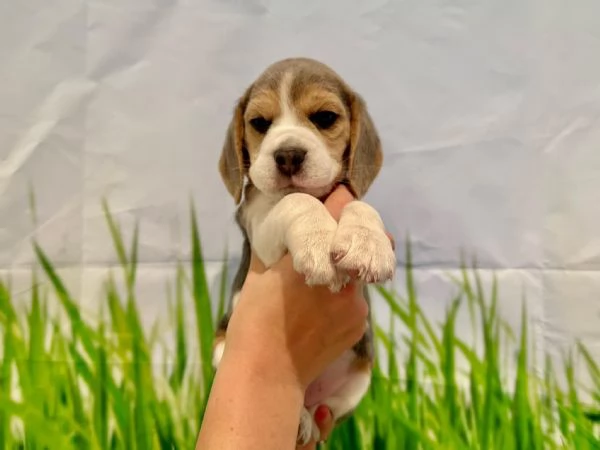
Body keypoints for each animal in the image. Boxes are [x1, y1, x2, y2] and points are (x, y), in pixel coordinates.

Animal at [213, 57, 396, 446]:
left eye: (325, 118)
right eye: (260, 123)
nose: (287, 155)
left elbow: (360, 205)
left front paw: (367, 243)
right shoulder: (259, 227)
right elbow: (295, 201)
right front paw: (317, 241)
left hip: (360, 375)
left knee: (325, 406)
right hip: (221, 349)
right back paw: (299, 419)